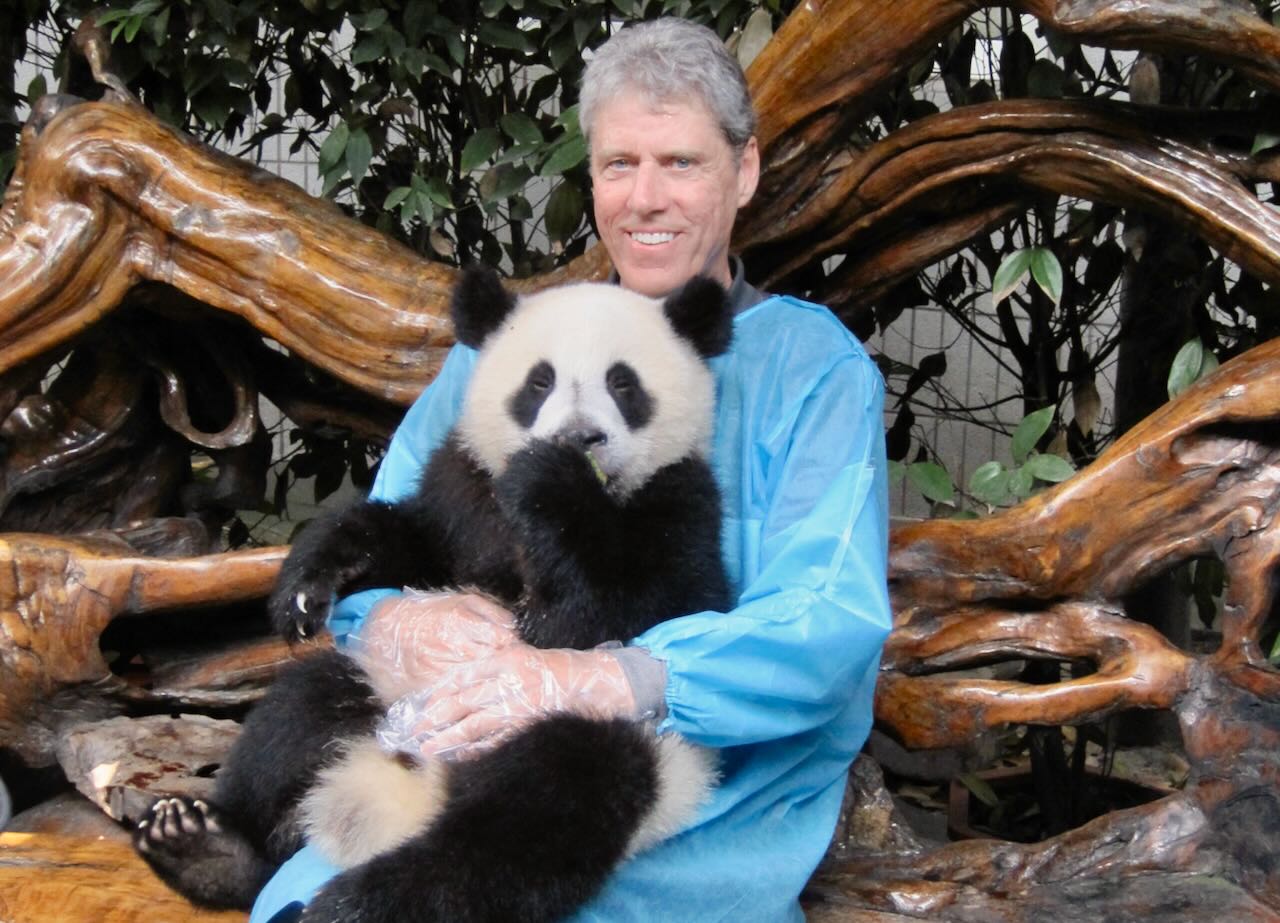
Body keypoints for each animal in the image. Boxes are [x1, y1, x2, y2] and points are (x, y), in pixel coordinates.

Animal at [133, 265, 734, 923]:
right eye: (540, 381)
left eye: (623, 383)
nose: (581, 437)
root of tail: (423, 778)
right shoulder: (462, 490)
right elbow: (407, 543)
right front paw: (307, 587)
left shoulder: (682, 502)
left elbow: (637, 604)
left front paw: (555, 484)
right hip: (377, 683)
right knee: (295, 712)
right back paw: (204, 848)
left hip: (630, 739)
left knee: (536, 814)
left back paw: (358, 902)